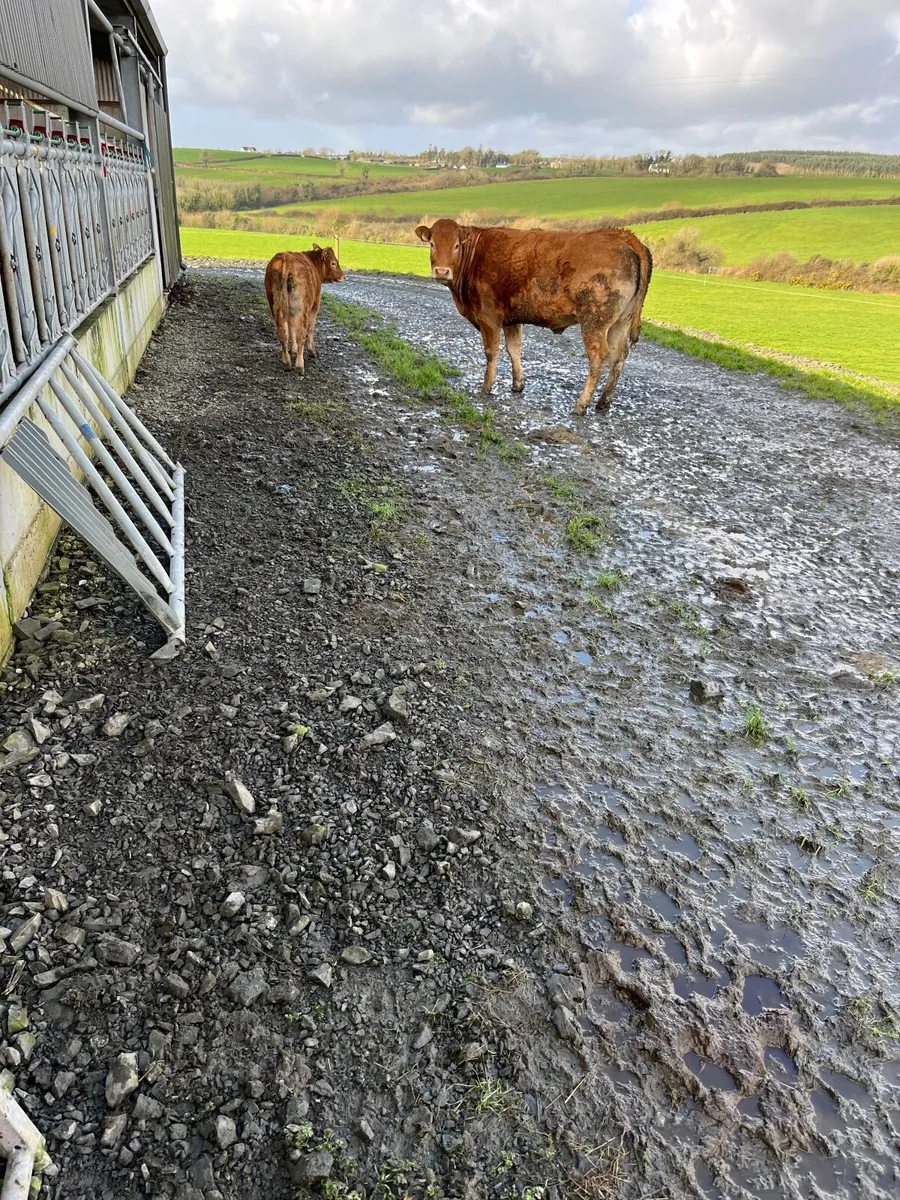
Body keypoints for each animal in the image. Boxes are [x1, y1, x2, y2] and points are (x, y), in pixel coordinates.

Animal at [414, 219, 652, 414]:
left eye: (456, 245)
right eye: (432, 244)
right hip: (620, 322)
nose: (442, 271)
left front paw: (486, 386)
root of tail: (625, 237)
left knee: (599, 357)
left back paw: (581, 404)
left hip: (595, 320)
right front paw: (518, 384)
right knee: (618, 356)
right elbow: (514, 349)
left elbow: (491, 352)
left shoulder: (489, 317)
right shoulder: (511, 318)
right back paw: (603, 402)